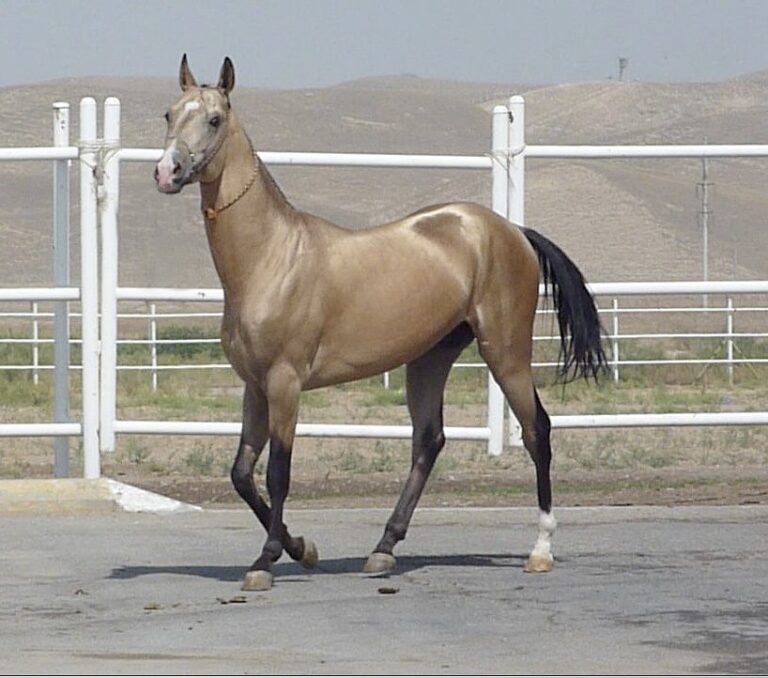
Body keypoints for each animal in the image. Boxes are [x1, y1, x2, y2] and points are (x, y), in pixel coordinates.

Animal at [155, 55, 607, 591]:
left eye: (214, 119)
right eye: (170, 113)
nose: (166, 171)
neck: (272, 257)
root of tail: (511, 230)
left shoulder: (285, 383)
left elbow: (278, 472)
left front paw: (266, 561)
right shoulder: (255, 386)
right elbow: (242, 474)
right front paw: (302, 549)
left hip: (506, 353)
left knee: (537, 430)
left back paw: (540, 549)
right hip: (431, 358)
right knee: (429, 441)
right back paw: (383, 549)